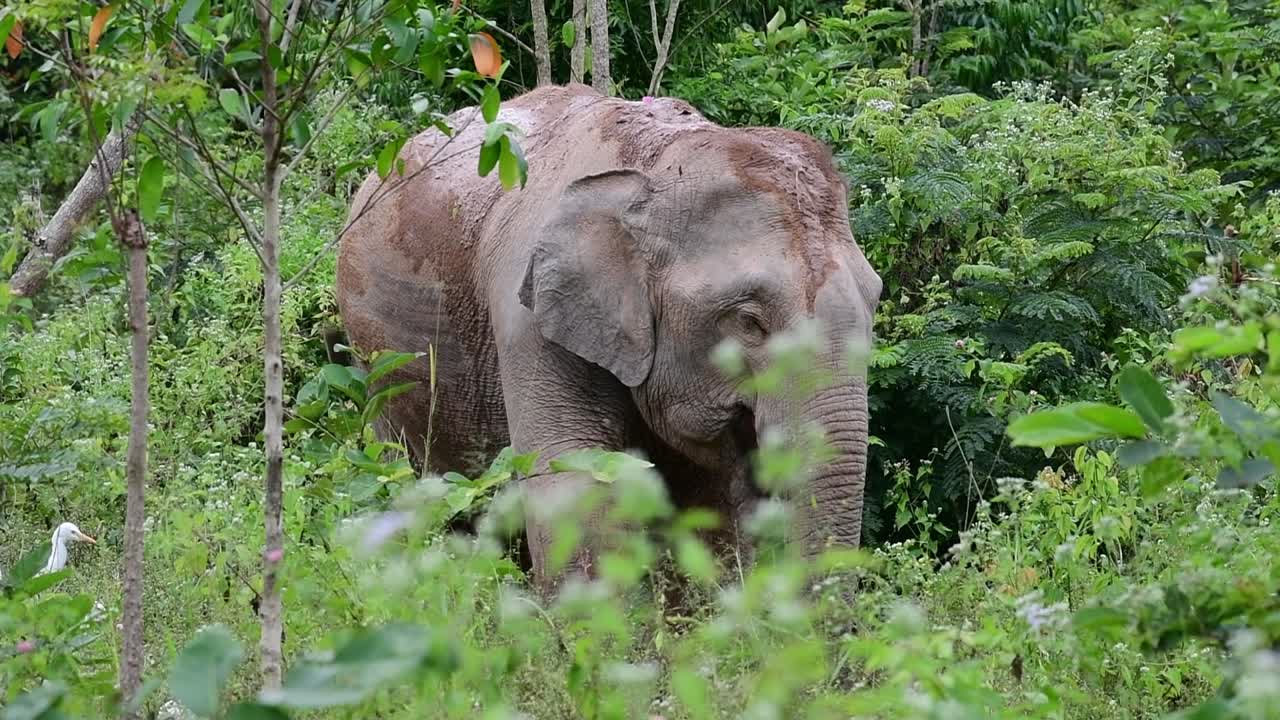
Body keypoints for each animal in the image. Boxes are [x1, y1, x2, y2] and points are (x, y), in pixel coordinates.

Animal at [335, 84, 881, 588]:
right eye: (749, 322)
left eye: (875, 300)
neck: (656, 165)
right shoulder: (527, 317)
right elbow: (572, 484)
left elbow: (710, 507)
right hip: (377, 366)